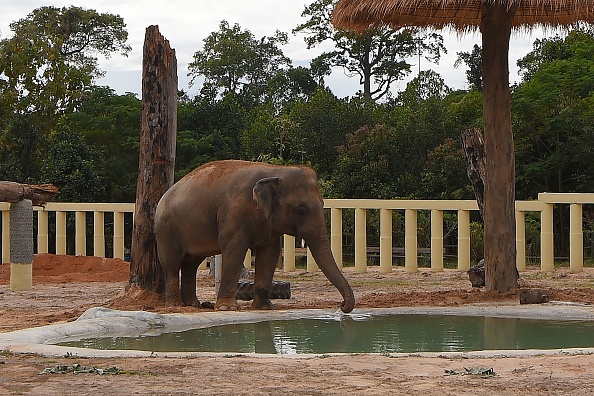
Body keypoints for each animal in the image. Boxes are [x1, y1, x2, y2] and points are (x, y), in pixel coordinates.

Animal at [153, 160, 354, 312]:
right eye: (301, 210)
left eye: (323, 204)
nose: (342, 304)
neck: (275, 170)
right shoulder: (233, 214)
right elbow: (234, 251)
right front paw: (226, 308)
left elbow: (269, 254)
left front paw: (264, 307)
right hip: (166, 229)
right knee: (172, 264)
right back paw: (176, 306)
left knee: (191, 264)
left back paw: (193, 305)